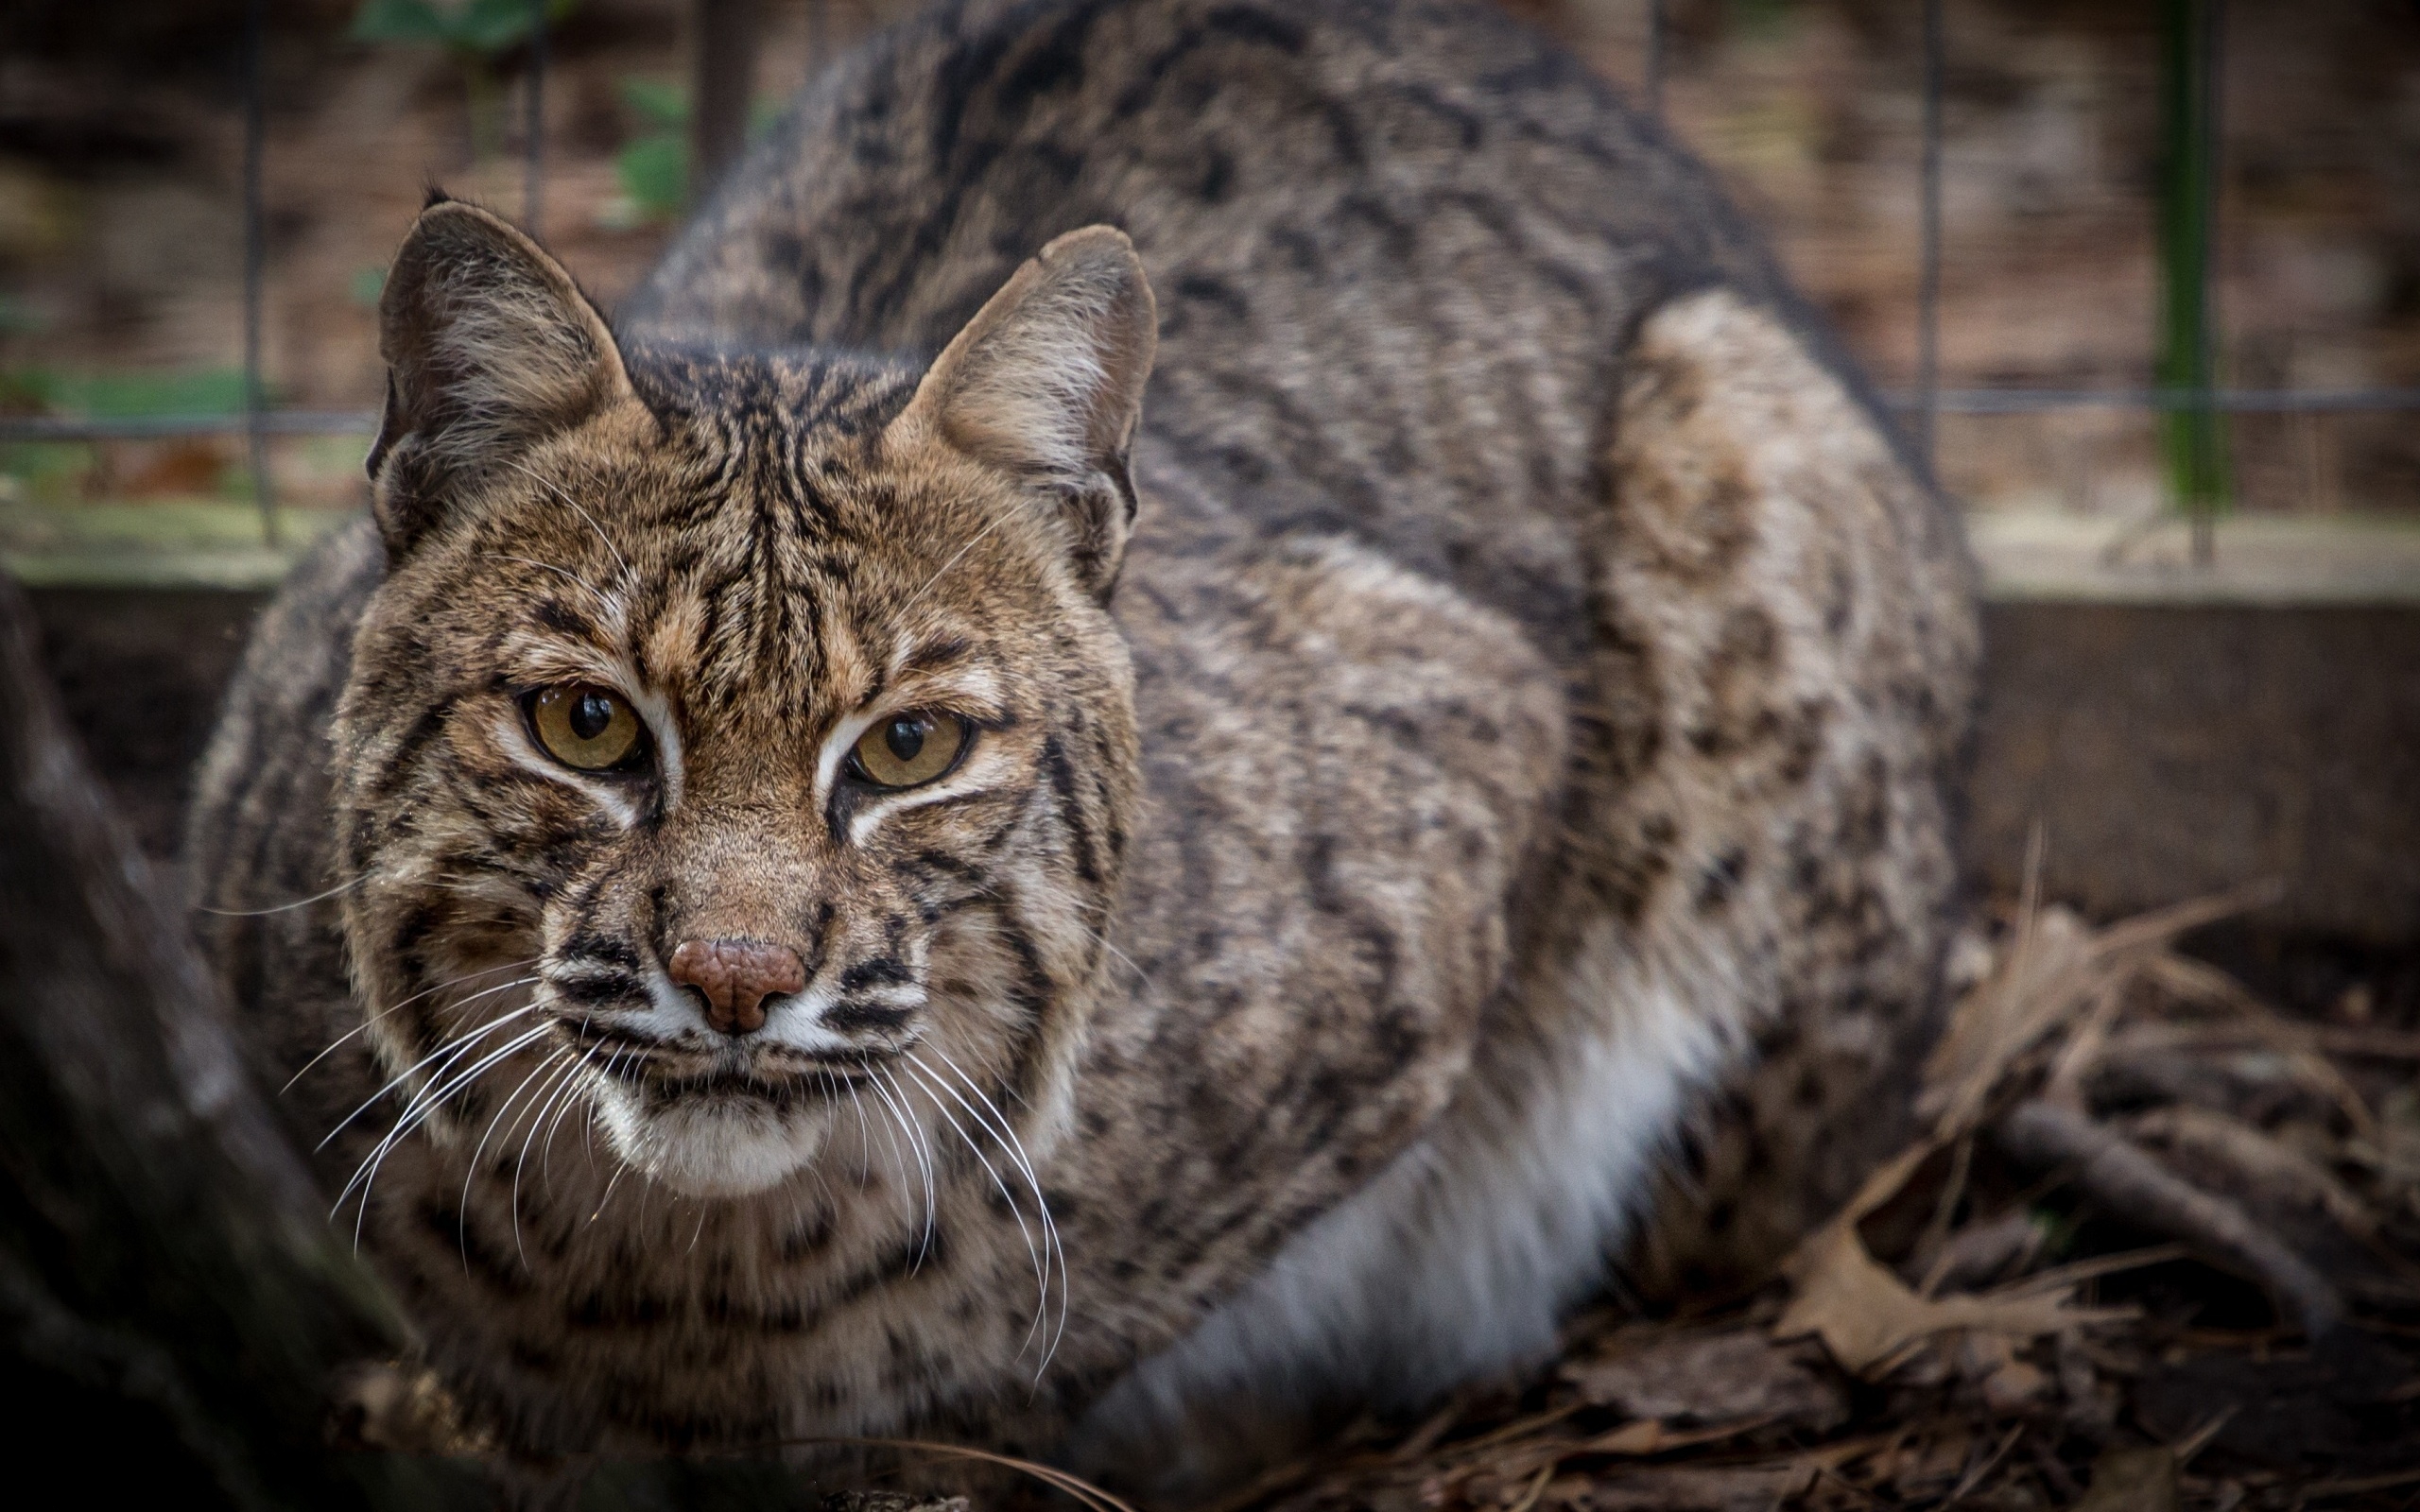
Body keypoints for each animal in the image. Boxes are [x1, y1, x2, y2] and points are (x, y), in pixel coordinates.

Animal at [183, 0, 1964, 1489]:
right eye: (585, 726)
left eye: (908, 749)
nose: (740, 985)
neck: (687, 1254)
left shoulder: (1466, 747)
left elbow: (1024, 1357)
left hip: (1746, 428)